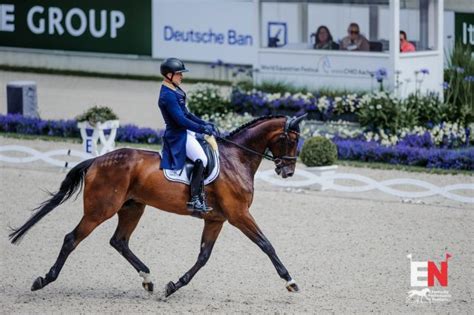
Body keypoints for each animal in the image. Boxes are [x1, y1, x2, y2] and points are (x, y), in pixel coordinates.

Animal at [11, 115, 310, 298]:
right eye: (292, 140)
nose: (288, 172)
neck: (235, 159)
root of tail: (96, 160)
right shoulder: (239, 215)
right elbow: (266, 244)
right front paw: (290, 281)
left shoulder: (216, 220)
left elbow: (203, 257)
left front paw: (174, 285)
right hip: (100, 210)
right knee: (71, 239)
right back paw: (44, 279)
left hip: (133, 207)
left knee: (119, 241)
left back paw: (148, 279)